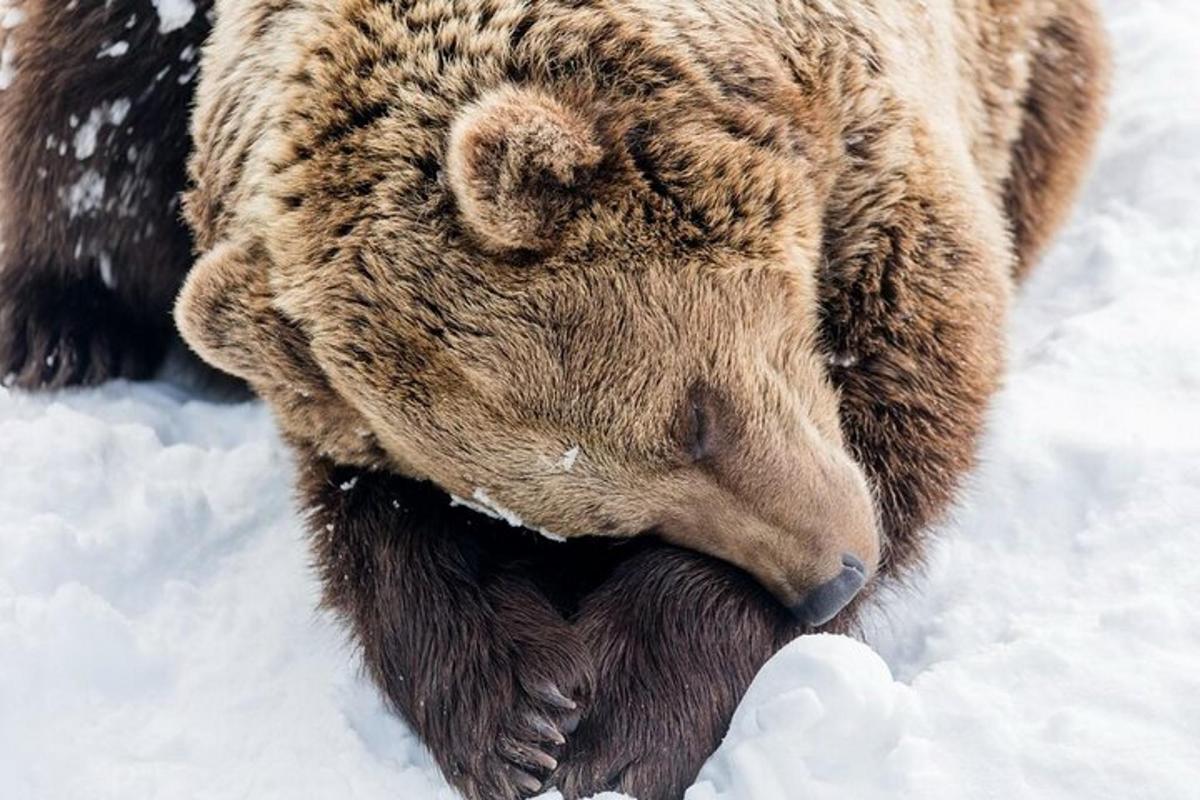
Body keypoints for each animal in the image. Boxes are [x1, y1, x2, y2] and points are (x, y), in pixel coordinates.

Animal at [0, 1, 1104, 800]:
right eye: (597, 518)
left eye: (696, 414)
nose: (830, 576)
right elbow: (371, 511)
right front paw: (517, 717)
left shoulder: (883, 148)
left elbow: (912, 378)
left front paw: (620, 717)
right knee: (85, 99)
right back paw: (59, 324)